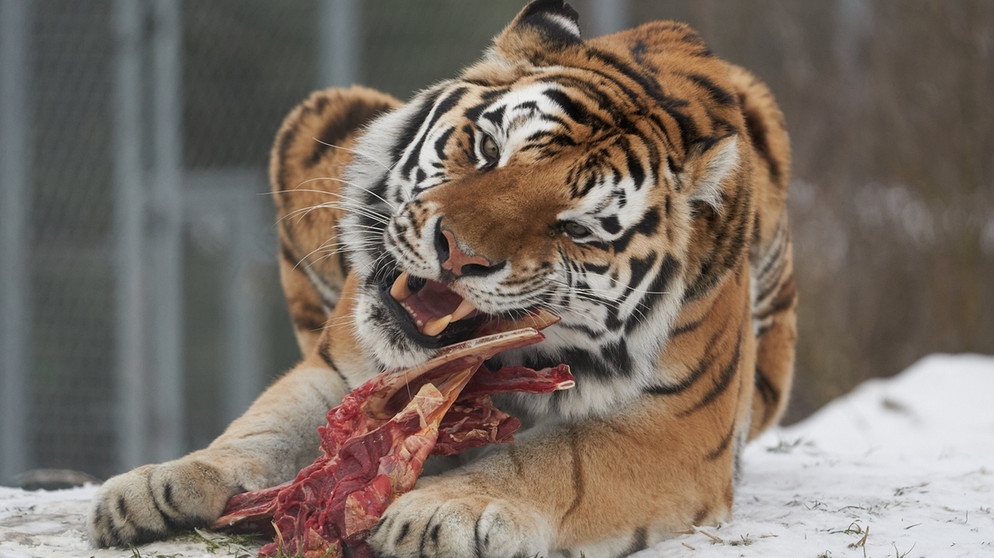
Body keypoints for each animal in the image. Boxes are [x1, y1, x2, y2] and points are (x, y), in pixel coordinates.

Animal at [89, 2, 796, 556]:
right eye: (488, 150)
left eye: (576, 228)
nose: (457, 253)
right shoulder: (341, 370)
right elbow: (263, 428)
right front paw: (160, 484)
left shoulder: (674, 427)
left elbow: (558, 460)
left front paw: (444, 510)